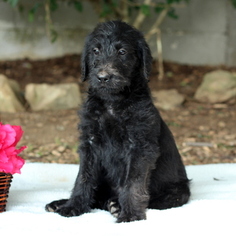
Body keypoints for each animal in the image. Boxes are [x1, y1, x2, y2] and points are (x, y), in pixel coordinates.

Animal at [45, 20, 190, 223]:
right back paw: (62, 203)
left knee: (160, 198)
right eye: (95, 51)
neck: (112, 102)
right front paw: (73, 206)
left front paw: (130, 214)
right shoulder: (90, 143)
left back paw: (116, 204)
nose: (103, 77)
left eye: (122, 52)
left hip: (177, 191)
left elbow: (134, 182)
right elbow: (83, 177)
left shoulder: (140, 146)